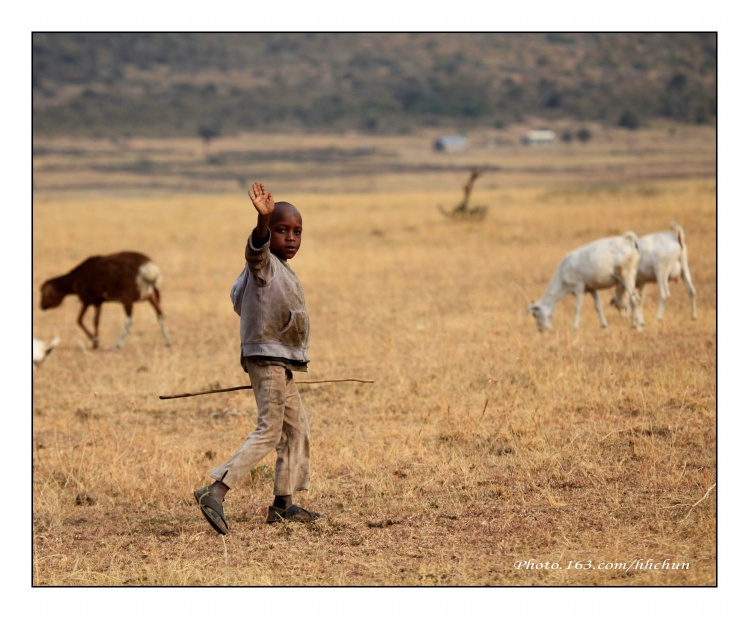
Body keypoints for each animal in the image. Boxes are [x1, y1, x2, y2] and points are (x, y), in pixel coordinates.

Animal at [40, 252, 172, 348]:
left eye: (44, 294)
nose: (41, 306)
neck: (76, 278)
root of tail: (150, 268)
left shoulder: (87, 300)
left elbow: (79, 320)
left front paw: (95, 340)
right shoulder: (98, 302)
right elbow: (96, 321)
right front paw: (95, 343)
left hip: (128, 298)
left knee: (129, 319)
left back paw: (118, 344)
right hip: (151, 295)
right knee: (160, 315)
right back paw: (168, 342)